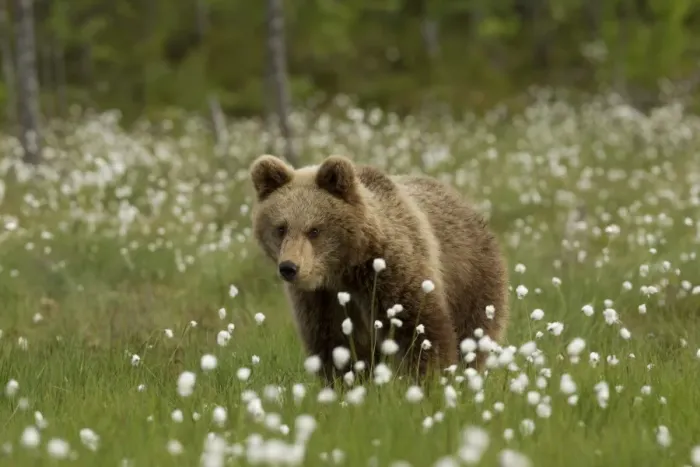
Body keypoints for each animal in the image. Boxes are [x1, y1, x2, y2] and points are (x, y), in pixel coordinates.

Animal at [249, 154, 509, 383]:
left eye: (314, 230)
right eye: (281, 228)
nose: (289, 267)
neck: (344, 271)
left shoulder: (390, 275)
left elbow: (420, 331)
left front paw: (430, 381)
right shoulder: (322, 300)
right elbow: (336, 346)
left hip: (471, 279)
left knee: (473, 334)